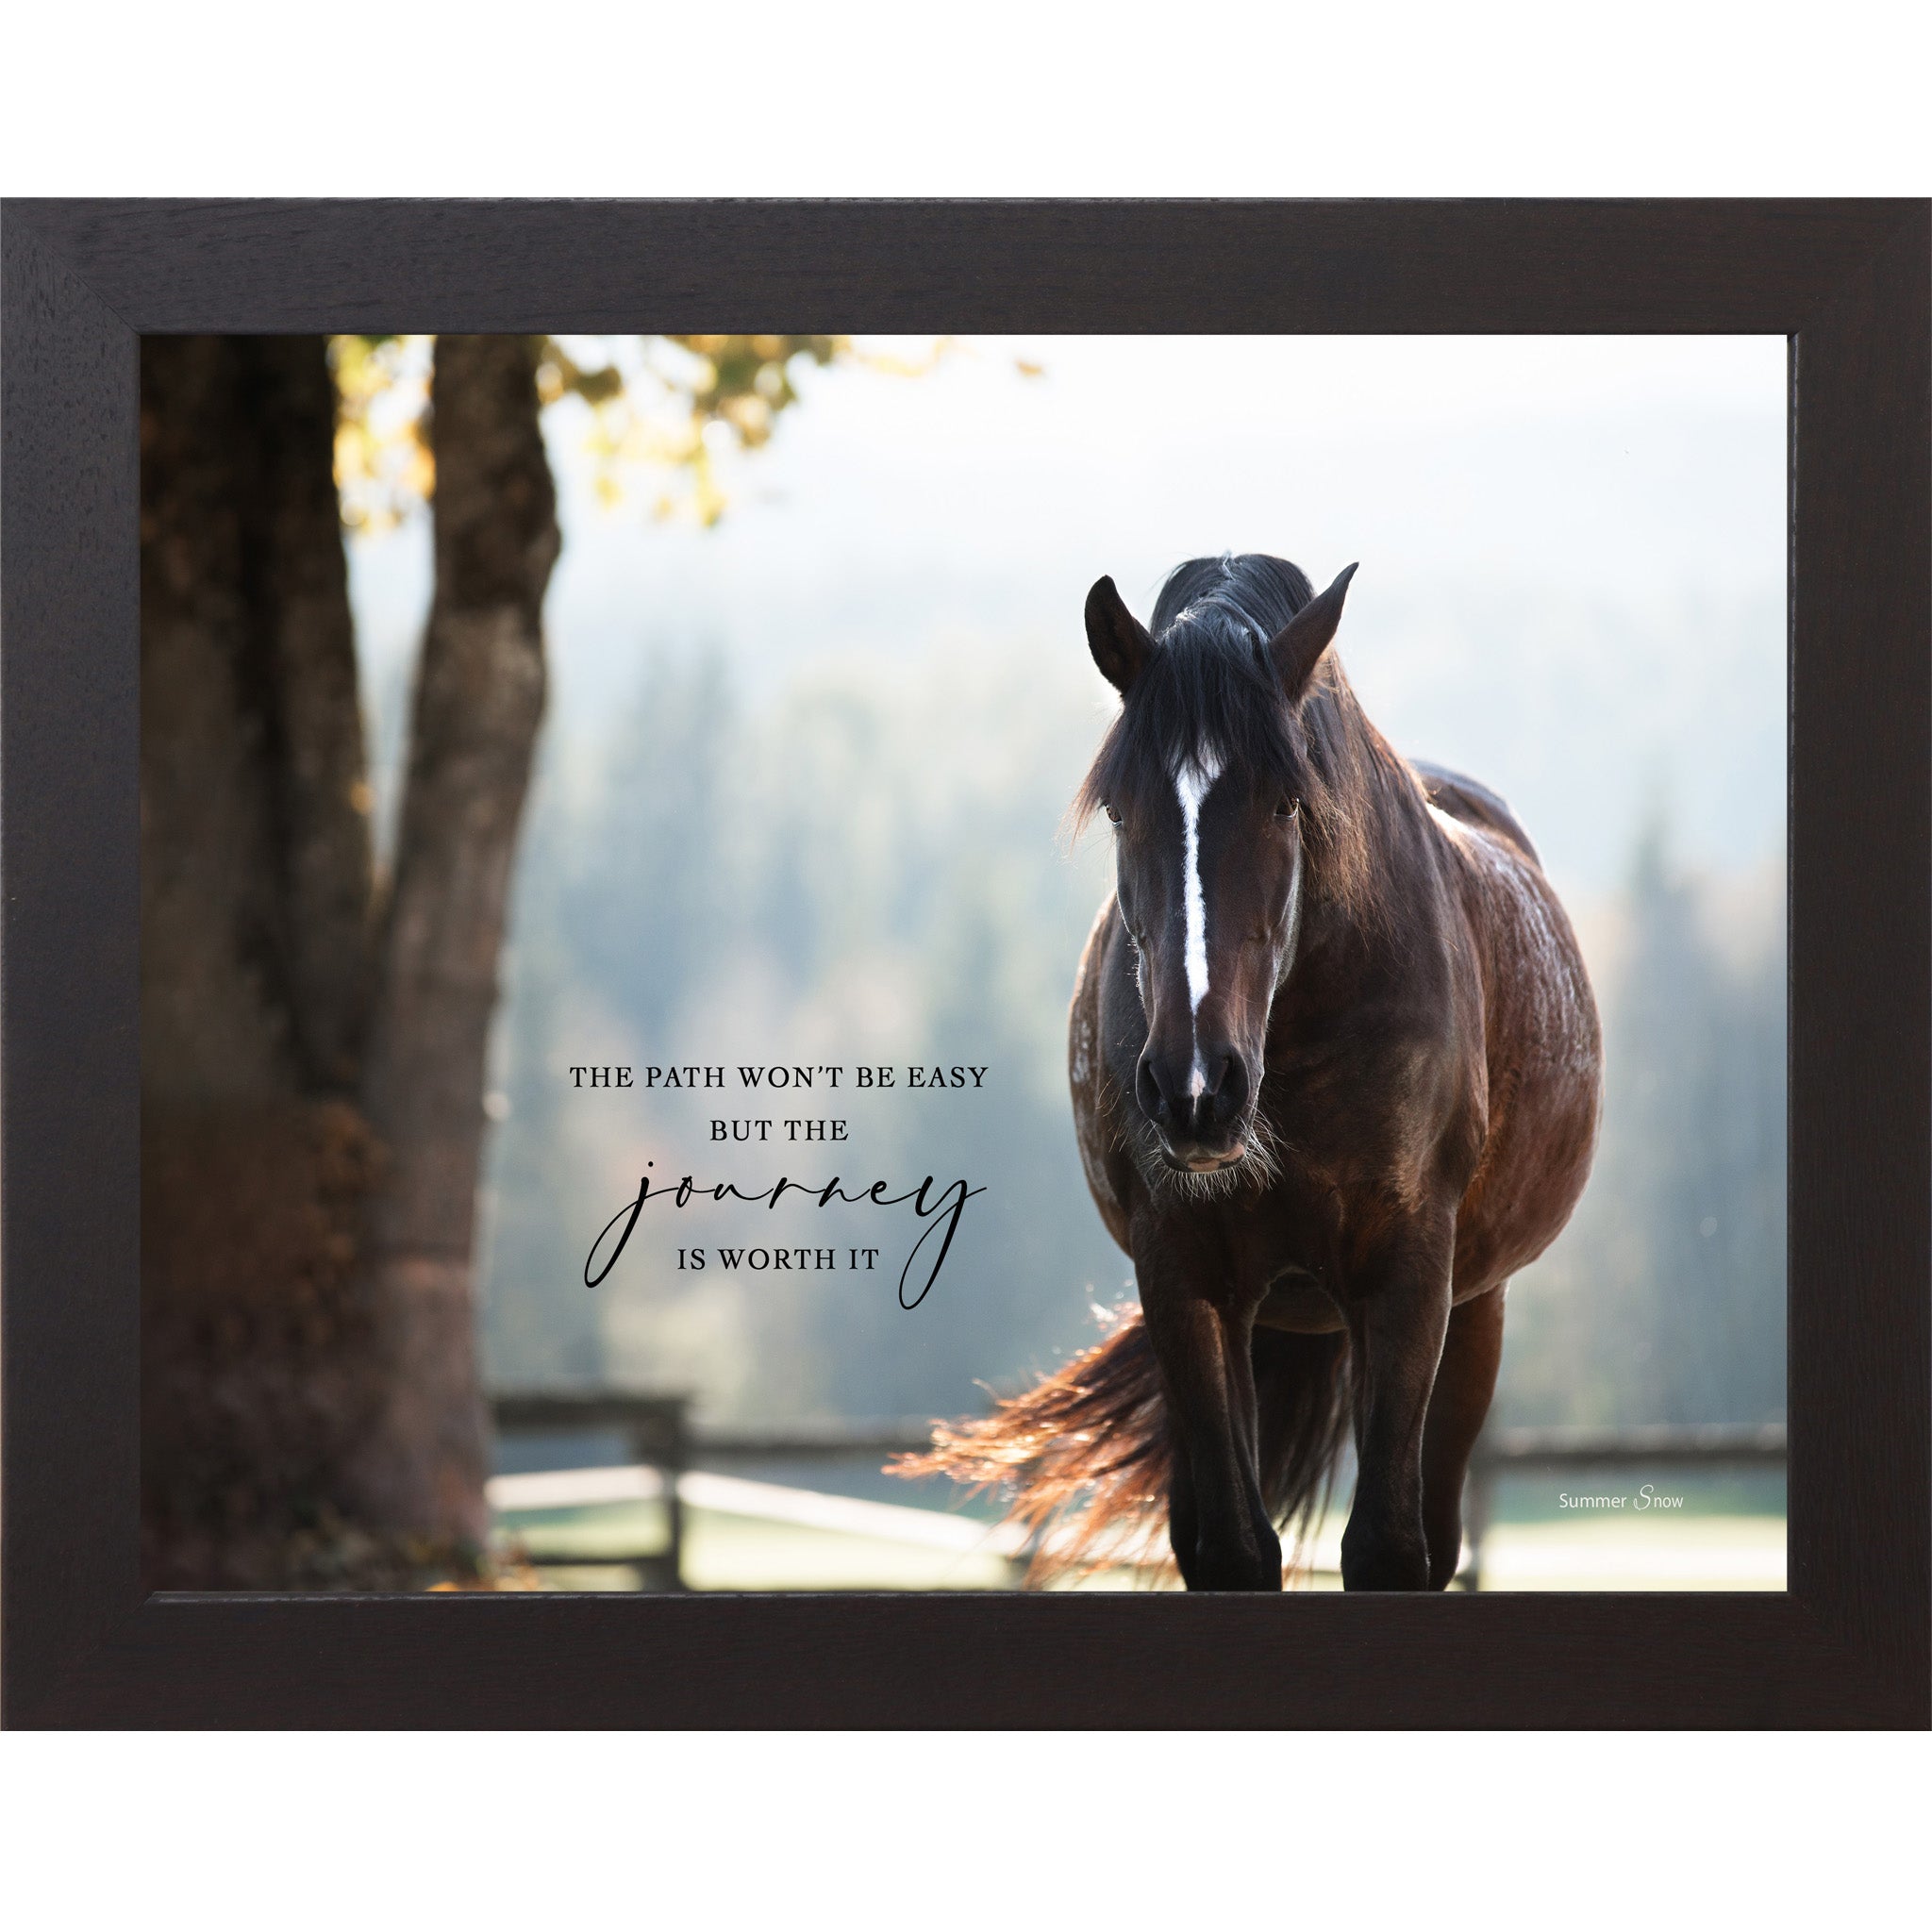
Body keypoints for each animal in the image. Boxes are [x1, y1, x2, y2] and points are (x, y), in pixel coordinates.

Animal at [901, 553, 1602, 1590]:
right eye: (1122, 809)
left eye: (1286, 801)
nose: (1195, 1090)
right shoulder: (1184, 1278)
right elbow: (1232, 1546)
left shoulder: (1409, 1278)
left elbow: (1387, 1546)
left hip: (1475, 1310)